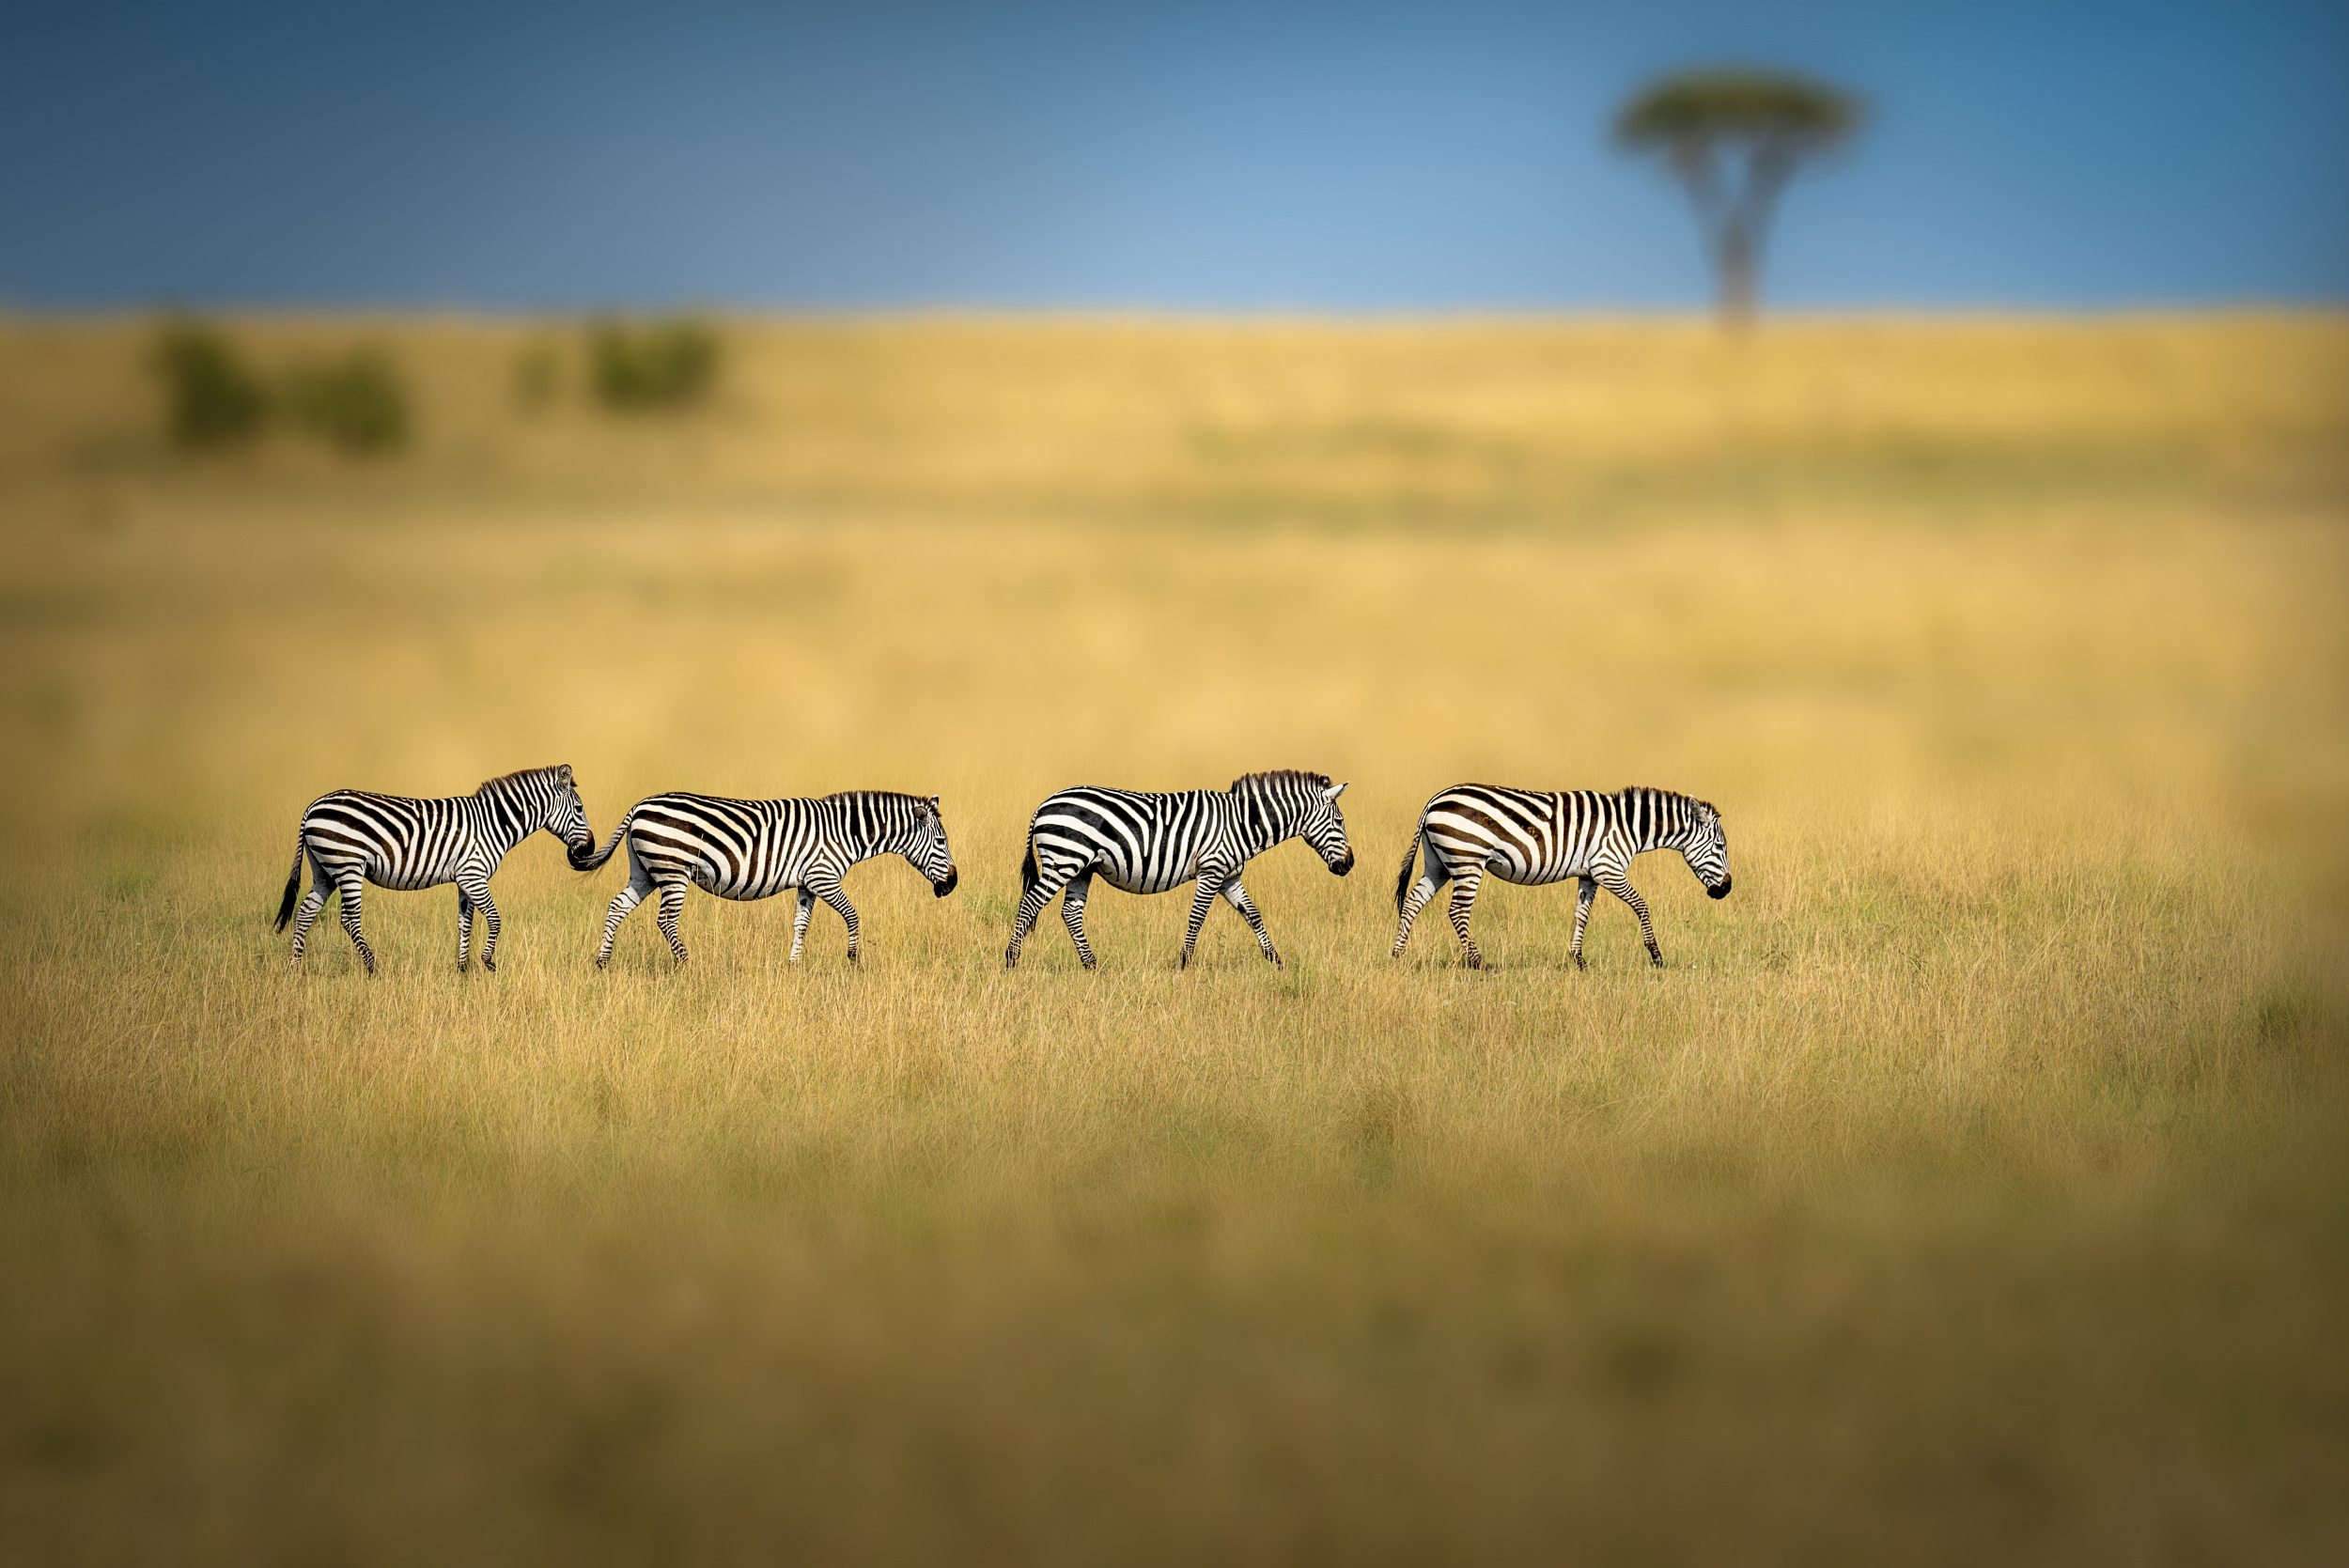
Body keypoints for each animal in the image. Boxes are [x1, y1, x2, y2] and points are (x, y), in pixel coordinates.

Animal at [274, 764, 595, 974]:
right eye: (579, 809)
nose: (590, 849)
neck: (493, 823)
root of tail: (313, 806)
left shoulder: (465, 879)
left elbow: (465, 923)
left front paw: (462, 969)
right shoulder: (474, 875)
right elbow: (495, 919)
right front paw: (487, 961)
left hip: (325, 870)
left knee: (305, 912)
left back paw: (294, 968)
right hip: (348, 864)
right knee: (349, 919)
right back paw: (372, 967)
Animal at [569, 791, 959, 966]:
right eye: (941, 842)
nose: (953, 883)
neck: (844, 833)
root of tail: (640, 805)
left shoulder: (807, 884)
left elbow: (801, 924)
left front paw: (793, 966)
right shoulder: (822, 876)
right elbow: (852, 914)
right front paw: (852, 957)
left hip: (647, 871)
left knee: (617, 907)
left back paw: (602, 963)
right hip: (673, 869)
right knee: (665, 920)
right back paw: (687, 965)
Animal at [1005, 770, 1355, 971]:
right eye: (1339, 822)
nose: (1349, 864)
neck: (1243, 823)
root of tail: (1043, 805)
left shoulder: (1229, 876)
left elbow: (1253, 915)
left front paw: (1276, 961)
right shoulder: (1212, 869)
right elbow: (1197, 917)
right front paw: (1185, 963)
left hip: (1081, 867)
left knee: (1070, 913)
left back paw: (1091, 966)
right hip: (1065, 859)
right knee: (1030, 904)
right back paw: (1011, 960)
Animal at [1391, 785, 1730, 970]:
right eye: (1720, 847)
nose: (1726, 889)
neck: (1629, 827)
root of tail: (1433, 801)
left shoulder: (1589, 875)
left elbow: (1582, 915)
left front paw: (1578, 960)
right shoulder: (1608, 869)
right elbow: (1642, 905)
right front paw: (1656, 955)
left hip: (1440, 863)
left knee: (1413, 902)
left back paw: (1397, 956)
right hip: (1467, 859)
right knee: (1458, 911)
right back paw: (1479, 963)